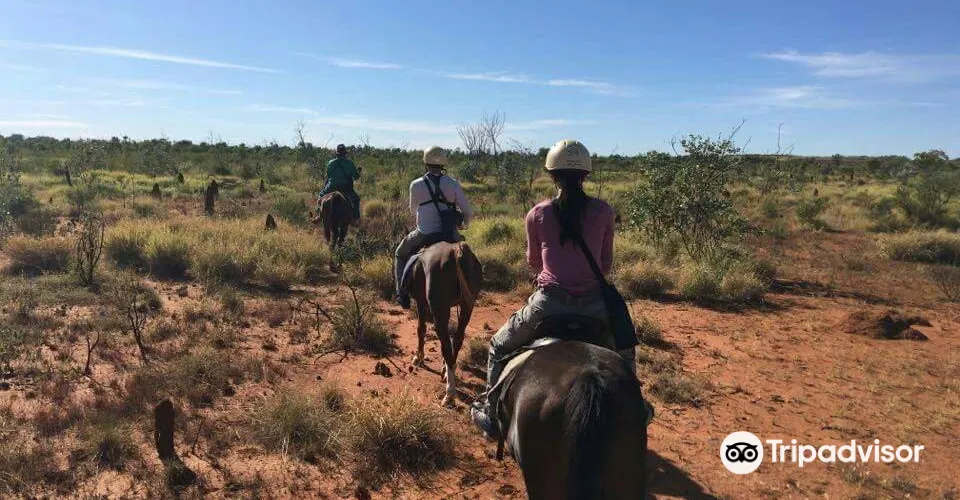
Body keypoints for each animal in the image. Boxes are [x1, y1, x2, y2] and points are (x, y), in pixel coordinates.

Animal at [409, 241, 483, 407]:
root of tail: (457, 251)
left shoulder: (420, 302)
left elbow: (421, 329)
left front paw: (419, 357)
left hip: (439, 310)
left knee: (447, 347)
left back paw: (449, 394)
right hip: (467, 307)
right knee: (457, 340)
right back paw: (447, 374)